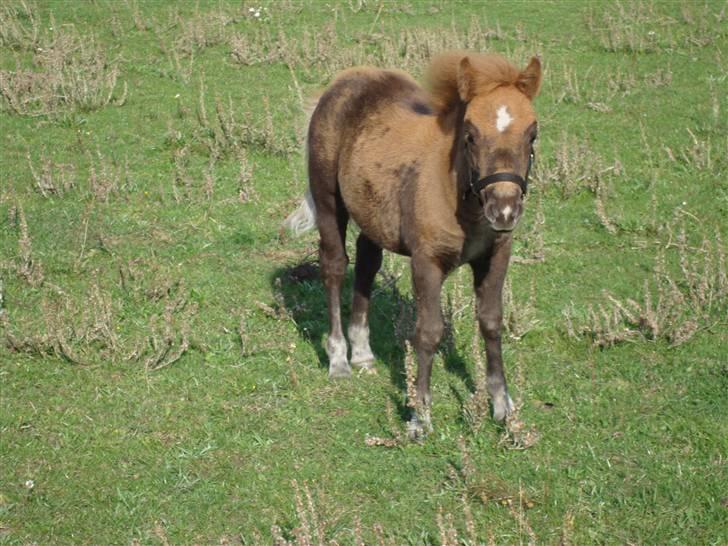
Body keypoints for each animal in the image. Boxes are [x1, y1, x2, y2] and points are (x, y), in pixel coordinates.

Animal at [284, 50, 540, 434]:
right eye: (470, 135)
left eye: (533, 135)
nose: (505, 209)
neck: (459, 198)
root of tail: (344, 80)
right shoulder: (426, 262)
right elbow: (429, 331)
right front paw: (420, 416)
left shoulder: (496, 256)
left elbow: (491, 323)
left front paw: (503, 408)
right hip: (329, 200)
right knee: (334, 267)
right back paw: (339, 359)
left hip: (373, 213)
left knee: (367, 265)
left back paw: (362, 353)